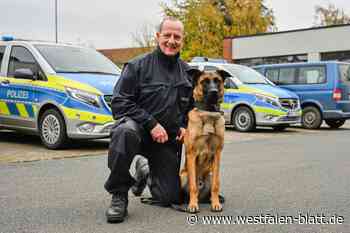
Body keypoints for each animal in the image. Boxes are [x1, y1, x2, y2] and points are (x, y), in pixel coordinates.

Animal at [180, 68, 230, 213]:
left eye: (217, 81)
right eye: (204, 81)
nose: (214, 92)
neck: (209, 113)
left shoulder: (217, 154)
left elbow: (216, 185)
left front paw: (215, 203)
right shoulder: (192, 154)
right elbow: (193, 186)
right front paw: (192, 205)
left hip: (211, 174)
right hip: (183, 176)